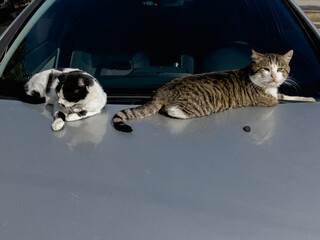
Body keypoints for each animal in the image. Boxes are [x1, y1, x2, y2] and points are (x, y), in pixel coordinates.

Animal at [112, 49, 316, 132]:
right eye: (266, 69)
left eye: (280, 69)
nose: (274, 76)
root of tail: (162, 90)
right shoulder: (269, 101)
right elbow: (280, 97)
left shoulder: (276, 93)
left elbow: (289, 95)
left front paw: (309, 98)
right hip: (197, 107)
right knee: (172, 110)